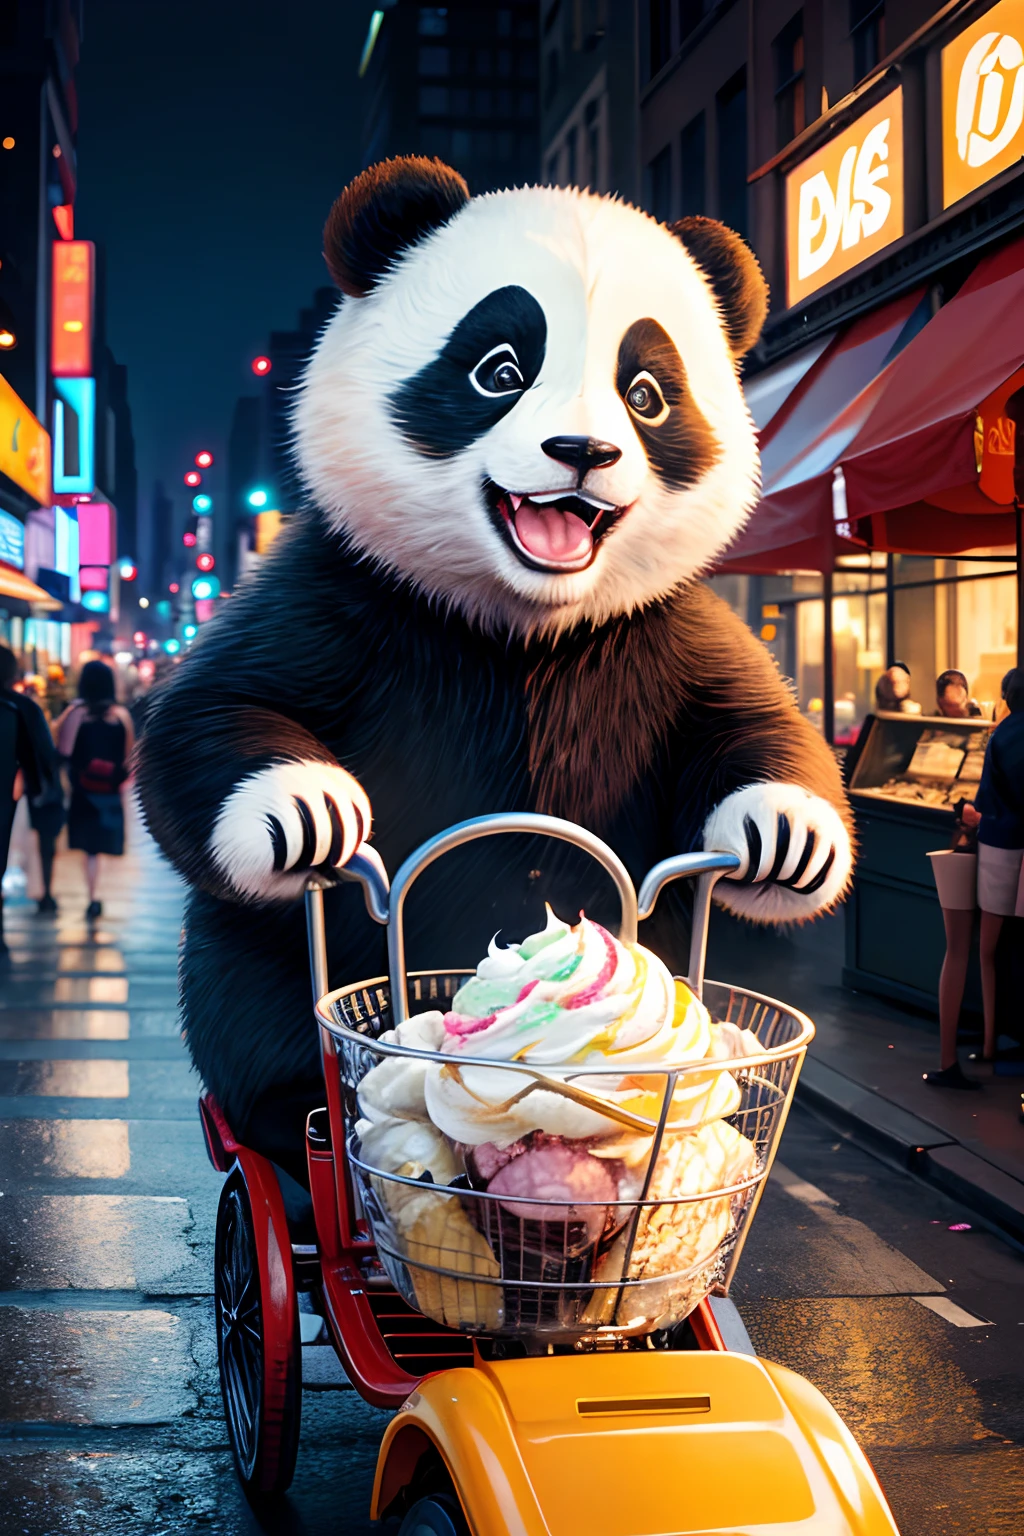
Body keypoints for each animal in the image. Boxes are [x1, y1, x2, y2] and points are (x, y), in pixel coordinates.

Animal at [138, 155, 859, 1179]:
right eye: (500, 371)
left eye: (647, 393)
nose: (583, 451)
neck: (525, 630)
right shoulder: (348, 592)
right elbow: (209, 711)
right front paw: (303, 810)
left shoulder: (658, 627)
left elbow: (759, 722)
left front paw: (785, 835)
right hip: (258, 976)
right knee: (244, 994)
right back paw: (289, 1114)